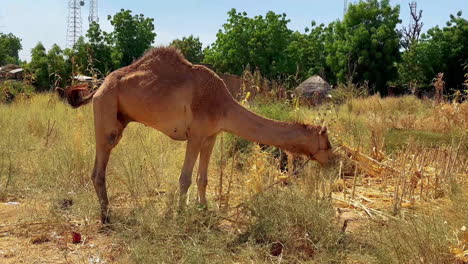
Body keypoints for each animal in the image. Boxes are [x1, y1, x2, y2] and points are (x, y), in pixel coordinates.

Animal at [67, 46, 334, 224]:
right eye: (328, 142)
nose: (332, 161)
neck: (222, 104)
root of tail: (97, 87)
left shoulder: (211, 135)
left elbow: (202, 178)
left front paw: (204, 209)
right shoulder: (194, 134)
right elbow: (184, 178)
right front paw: (179, 214)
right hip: (106, 112)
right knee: (99, 168)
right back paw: (106, 217)